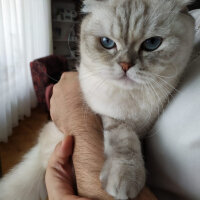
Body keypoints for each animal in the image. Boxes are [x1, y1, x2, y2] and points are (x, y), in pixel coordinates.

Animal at [0, 0, 195, 200]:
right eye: (107, 43)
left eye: (152, 43)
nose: (125, 66)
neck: (132, 98)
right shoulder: (107, 114)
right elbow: (125, 138)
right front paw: (125, 179)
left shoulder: (145, 129)